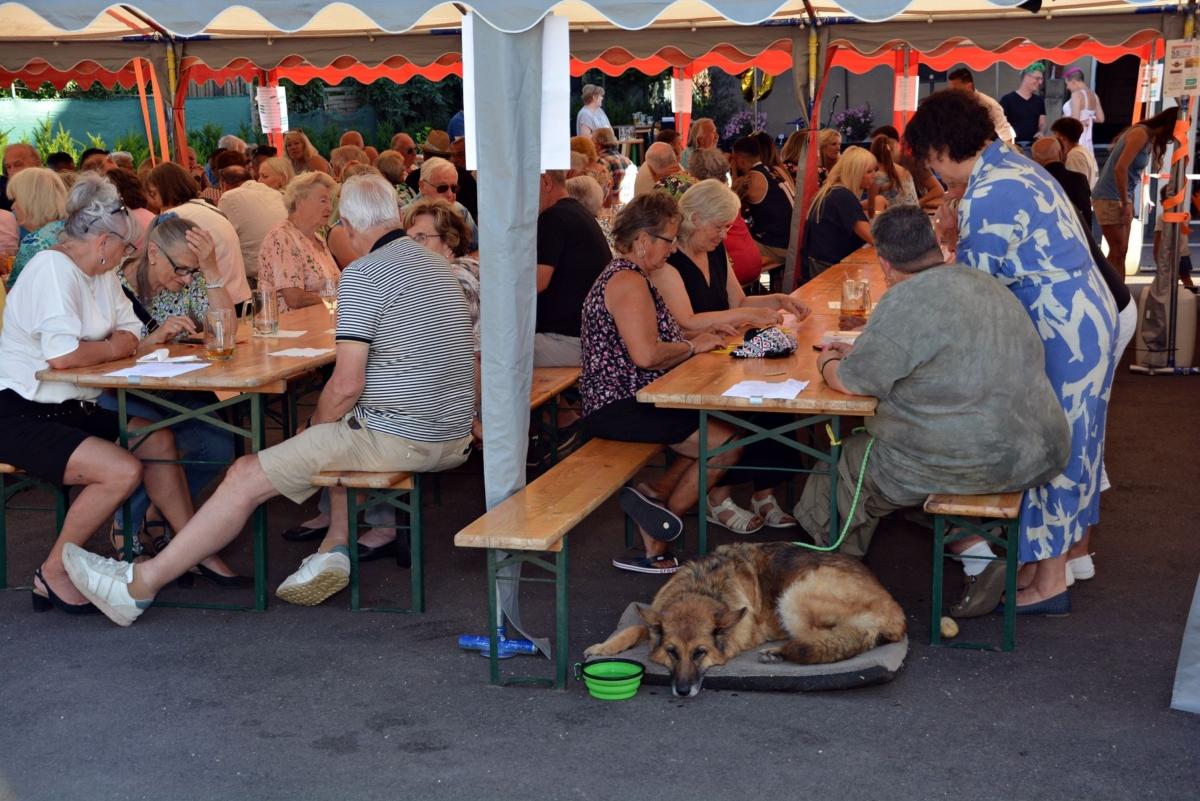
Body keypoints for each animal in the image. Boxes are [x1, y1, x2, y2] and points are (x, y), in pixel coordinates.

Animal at [584, 542, 906, 697]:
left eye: (700, 653)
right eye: (672, 652)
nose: (683, 692)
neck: (702, 587)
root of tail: (895, 613)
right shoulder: (654, 619)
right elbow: (634, 627)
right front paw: (604, 647)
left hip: (794, 595)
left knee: (816, 638)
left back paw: (777, 652)